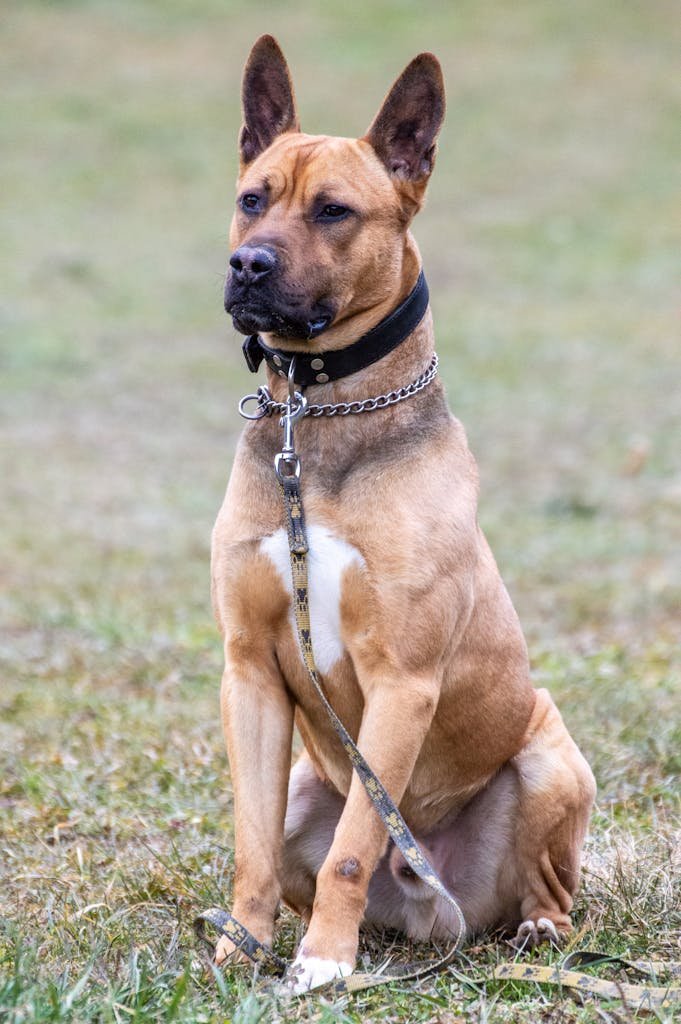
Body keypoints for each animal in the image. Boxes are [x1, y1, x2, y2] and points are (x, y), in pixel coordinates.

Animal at [210, 34, 593, 991]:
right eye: (251, 199)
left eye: (334, 211)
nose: (248, 265)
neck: (318, 420)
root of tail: (428, 902)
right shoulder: (248, 674)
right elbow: (251, 844)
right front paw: (241, 947)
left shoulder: (400, 685)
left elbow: (352, 848)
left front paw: (322, 963)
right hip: (307, 788)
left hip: (548, 757)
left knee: (549, 889)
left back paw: (535, 931)